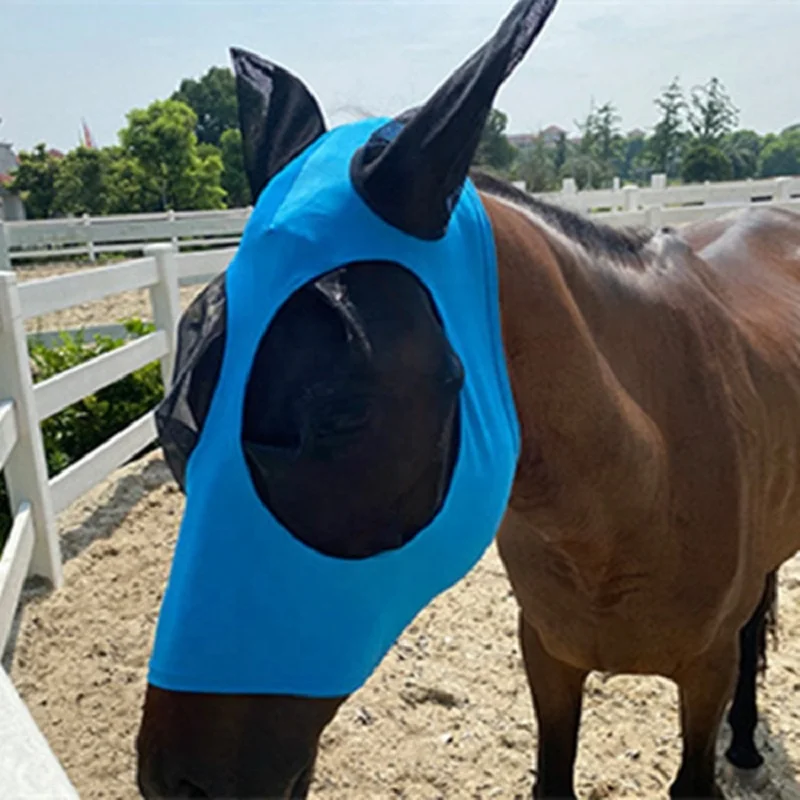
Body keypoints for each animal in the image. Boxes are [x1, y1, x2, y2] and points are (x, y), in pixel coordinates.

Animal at [135, 1, 800, 797]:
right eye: (174, 422)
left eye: (342, 413)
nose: (177, 781)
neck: (643, 471)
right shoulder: (549, 657)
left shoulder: (703, 673)